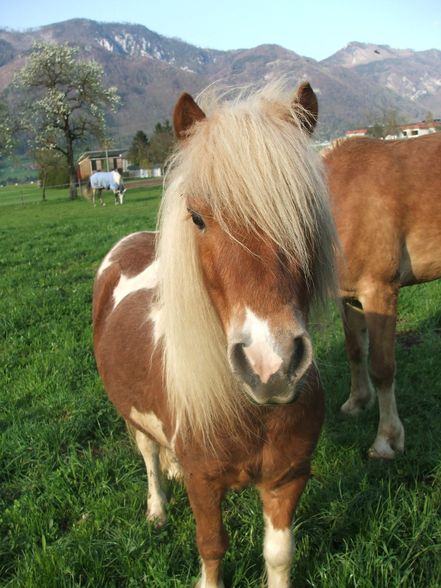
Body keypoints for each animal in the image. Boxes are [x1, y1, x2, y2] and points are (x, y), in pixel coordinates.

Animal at [93, 80, 336, 584]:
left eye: (305, 211)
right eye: (198, 218)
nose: (271, 365)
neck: (250, 413)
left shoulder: (288, 477)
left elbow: (278, 554)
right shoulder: (205, 485)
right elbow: (211, 545)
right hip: (132, 416)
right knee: (149, 457)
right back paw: (157, 510)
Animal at [324, 133, 440, 460]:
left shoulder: (379, 290)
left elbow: (382, 367)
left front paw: (387, 440)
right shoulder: (348, 297)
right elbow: (354, 350)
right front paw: (357, 402)